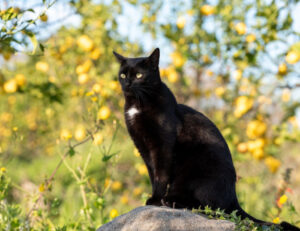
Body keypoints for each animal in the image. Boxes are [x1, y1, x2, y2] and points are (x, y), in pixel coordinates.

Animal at [113, 47, 300, 230]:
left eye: (139, 75)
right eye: (122, 75)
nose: (127, 83)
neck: (137, 105)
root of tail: (234, 198)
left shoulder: (162, 147)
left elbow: (161, 176)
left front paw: (155, 200)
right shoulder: (143, 148)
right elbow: (153, 175)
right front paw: (154, 198)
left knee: (210, 208)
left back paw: (171, 201)